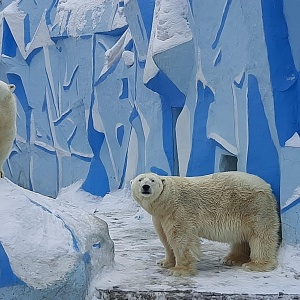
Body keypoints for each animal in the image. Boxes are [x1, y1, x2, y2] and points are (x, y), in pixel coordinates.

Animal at [130, 171, 280, 276]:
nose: (145, 186)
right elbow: (165, 239)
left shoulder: (179, 211)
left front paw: (178, 270)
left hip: (254, 206)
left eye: (153, 180)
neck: (168, 202)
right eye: (140, 179)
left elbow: (181, 238)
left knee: (261, 236)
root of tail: (267, 187)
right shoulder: (160, 217)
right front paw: (164, 262)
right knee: (242, 237)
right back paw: (232, 259)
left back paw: (256, 265)